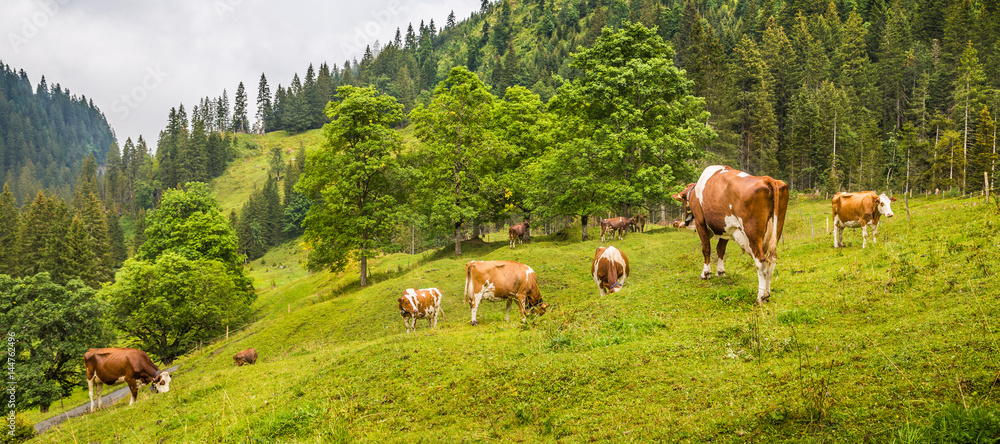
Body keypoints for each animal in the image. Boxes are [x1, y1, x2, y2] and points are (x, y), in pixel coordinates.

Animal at [680, 166, 788, 306]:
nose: (687, 221)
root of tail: (766, 179)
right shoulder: (725, 227)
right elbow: (720, 249)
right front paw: (720, 272)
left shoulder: (700, 221)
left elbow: (706, 248)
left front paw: (706, 273)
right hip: (777, 229)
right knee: (772, 260)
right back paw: (767, 293)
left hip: (752, 234)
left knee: (761, 261)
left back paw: (761, 296)